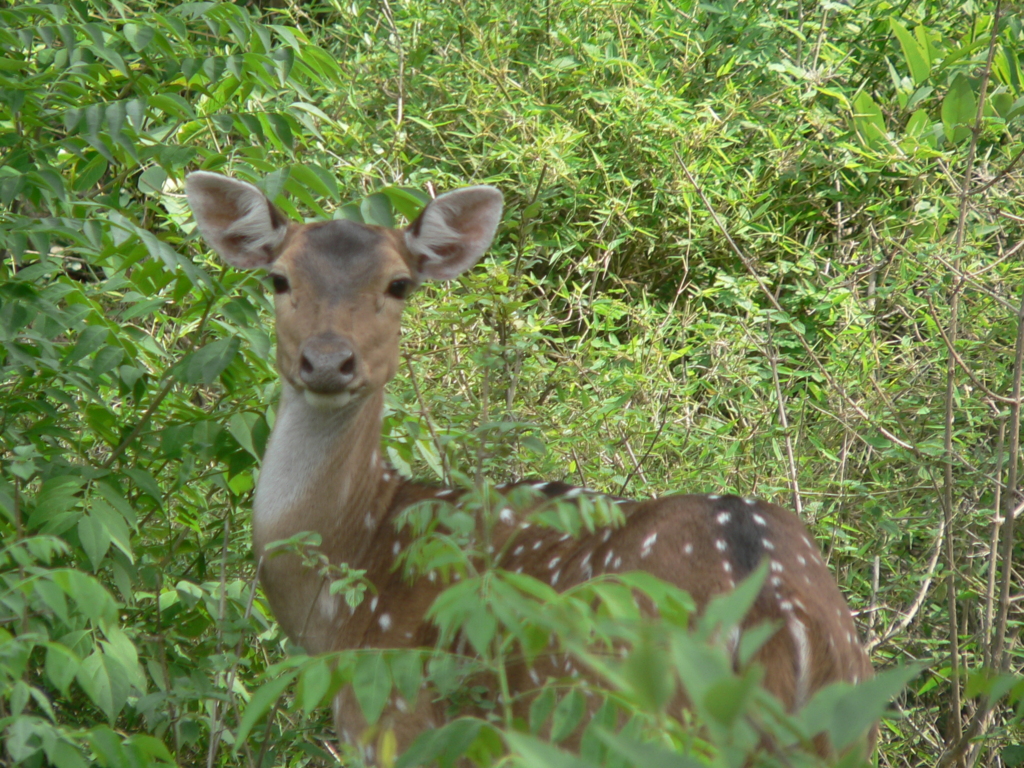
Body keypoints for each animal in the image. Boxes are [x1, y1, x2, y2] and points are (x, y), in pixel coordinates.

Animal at [184, 169, 872, 765]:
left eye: (399, 284)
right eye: (278, 278)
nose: (327, 361)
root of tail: (774, 612)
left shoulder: (396, 720)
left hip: (625, 720)